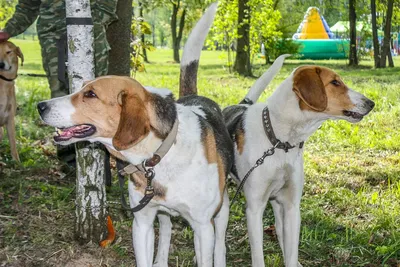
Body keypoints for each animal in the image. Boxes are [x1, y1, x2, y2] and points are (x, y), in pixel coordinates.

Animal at [38, 3, 233, 267]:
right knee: (167, 228)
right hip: (162, 214)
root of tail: (195, 98)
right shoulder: (142, 224)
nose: (40, 106)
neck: (158, 155)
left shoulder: (203, 227)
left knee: (220, 243)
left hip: (221, 212)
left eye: (90, 94)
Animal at [223, 55, 374, 267]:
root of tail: (240, 104)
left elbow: (292, 251)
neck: (280, 142)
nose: (371, 103)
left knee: (280, 230)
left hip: (278, 203)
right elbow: (258, 256)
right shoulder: (254, 209)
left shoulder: (292, 206)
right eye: (335, 82)